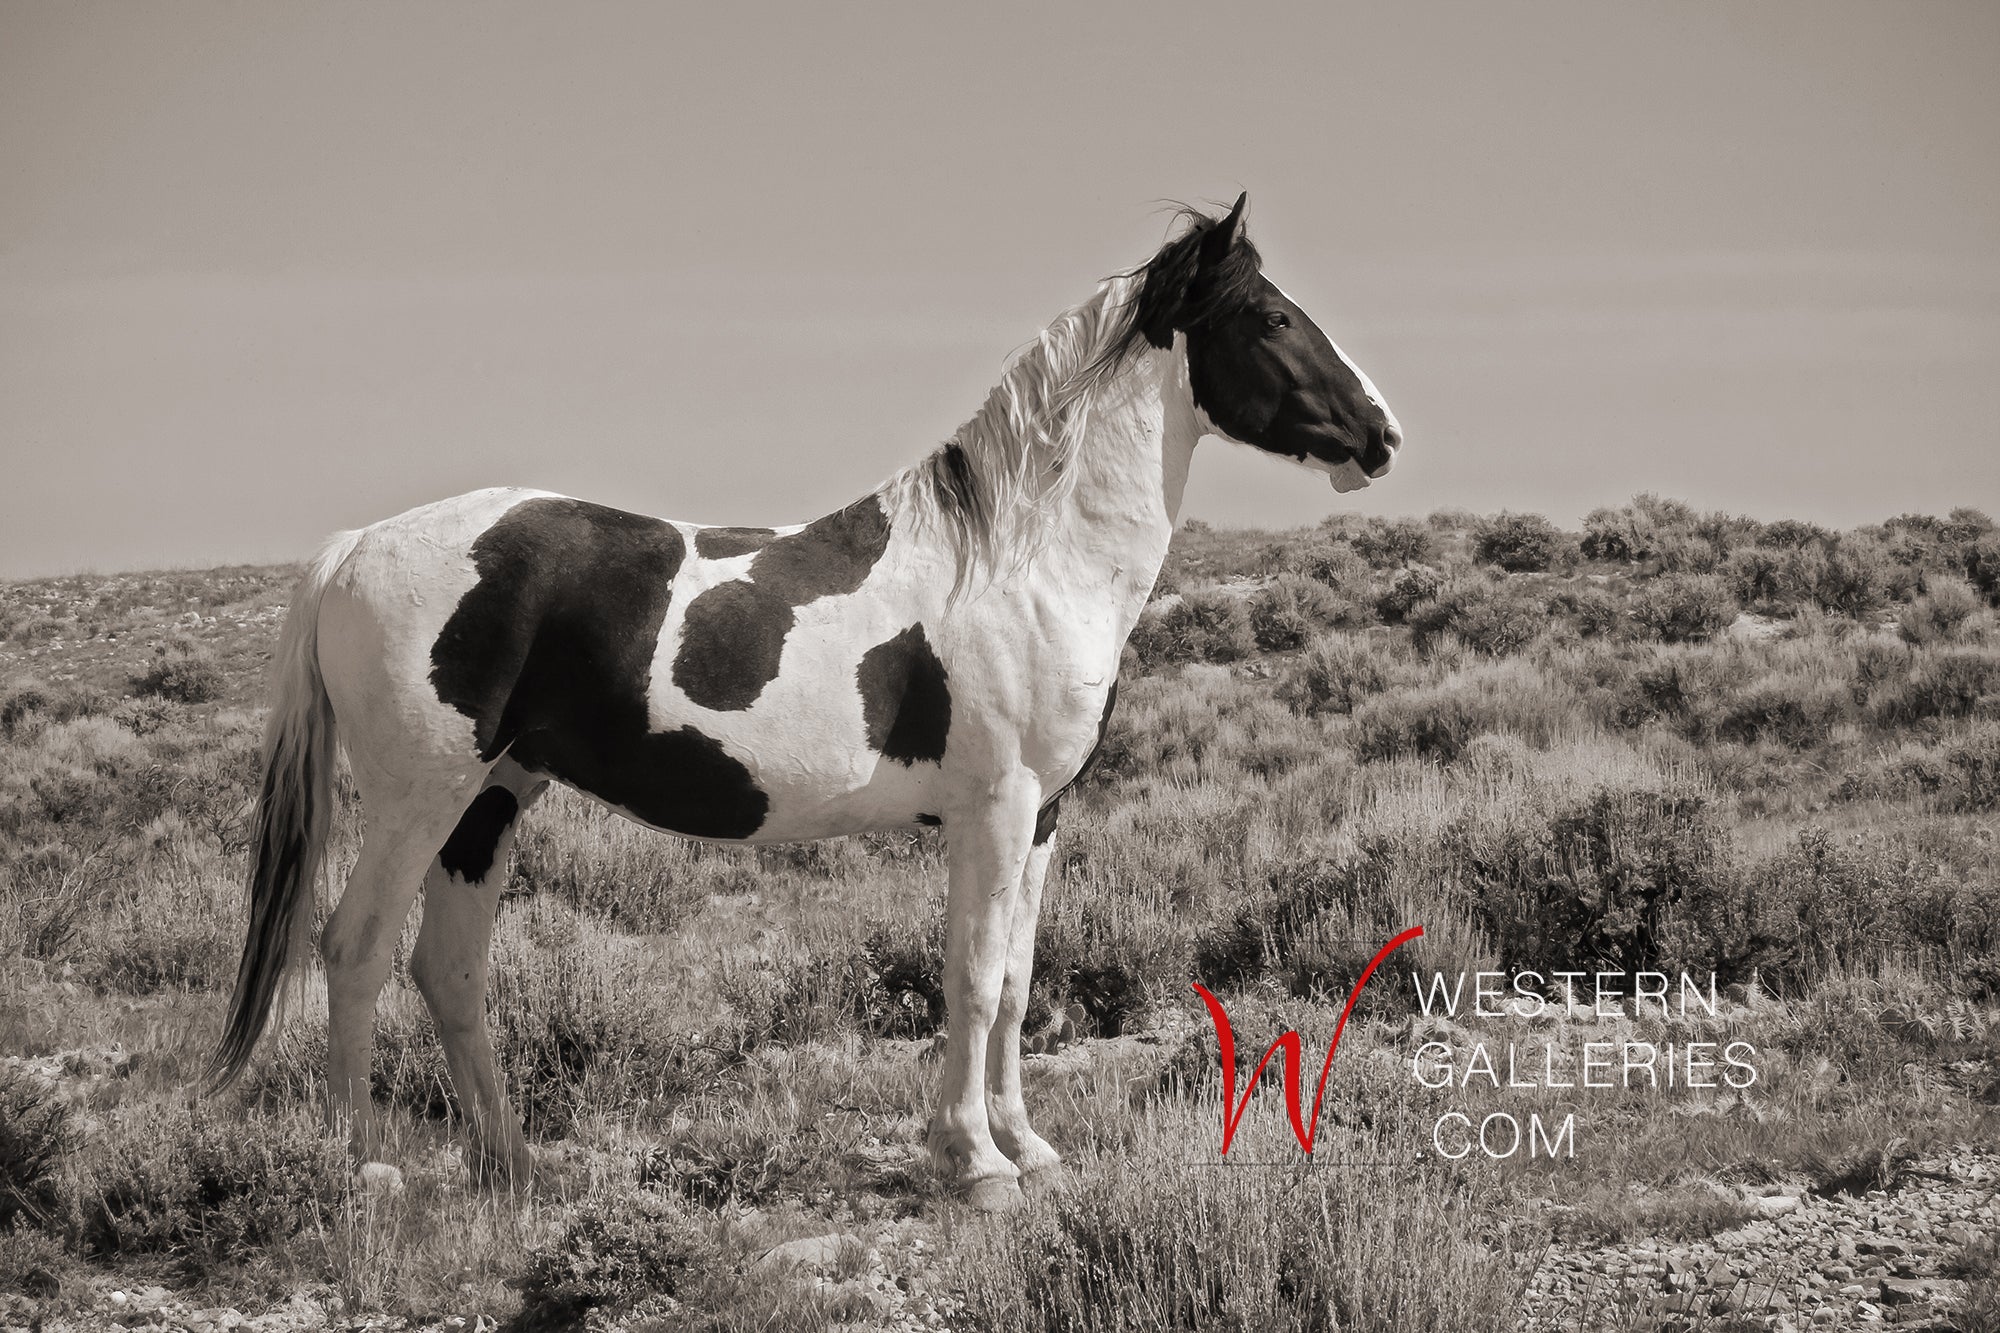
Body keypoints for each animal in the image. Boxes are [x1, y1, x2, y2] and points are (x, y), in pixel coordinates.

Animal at [199, 195, 1392, 1200]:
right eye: (1271, 318)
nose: (1380, 437)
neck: (1024, 561)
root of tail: (355, 548)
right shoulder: (993, 810)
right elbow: (969, 976)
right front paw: (974, 1163)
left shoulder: (1044, 814)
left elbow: (1014, 980)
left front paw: (1027, 1145)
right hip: (420, 796)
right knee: (354, 949)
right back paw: (365, 1171)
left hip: (492, 799)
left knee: (446, 966)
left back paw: (514, 1162)